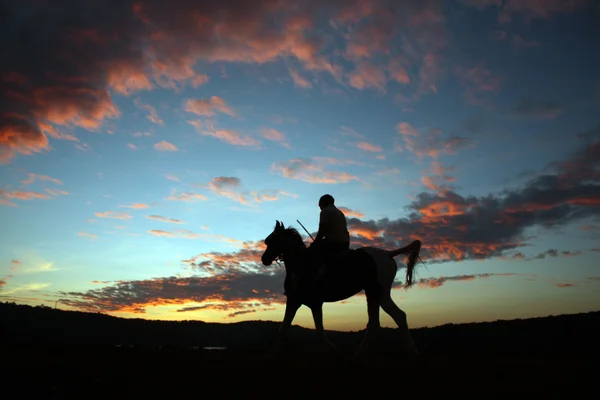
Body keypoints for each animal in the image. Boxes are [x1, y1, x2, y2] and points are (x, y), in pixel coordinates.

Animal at [262, 220, 422, 358]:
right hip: (373, 295)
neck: (301, 264)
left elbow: (318, 332)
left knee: (395, 317)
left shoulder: (311, 303)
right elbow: (284, 329)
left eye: (271, 240)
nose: (264, 259)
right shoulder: (296, 301)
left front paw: (335, 351)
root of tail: (387, 253)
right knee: (379, 322)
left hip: (379, 293)